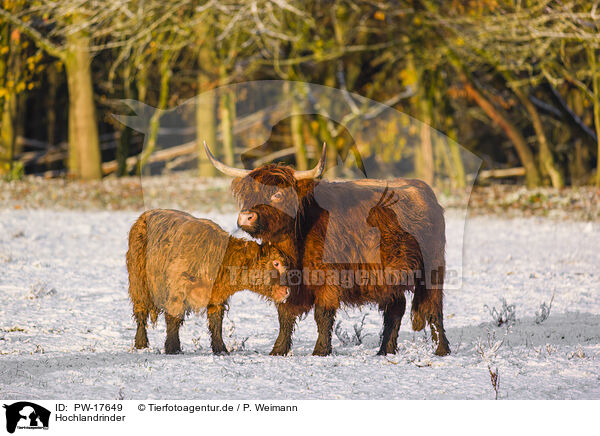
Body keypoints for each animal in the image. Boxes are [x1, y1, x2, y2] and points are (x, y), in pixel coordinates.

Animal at [127, 209, 292, 356]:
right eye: (276, 263)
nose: (287, 291)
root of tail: (143, 216)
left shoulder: (216, 298)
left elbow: (216, 323)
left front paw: (221, 349)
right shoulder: (176, 290)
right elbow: (174, 319)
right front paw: (173, 348)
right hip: (138, 283)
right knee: (140, 312)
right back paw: (141, 344)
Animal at [204, 143, 448, 358]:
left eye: (277, 194)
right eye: (249, 194)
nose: (246, 217)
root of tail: (425, 190)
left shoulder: (328, 278)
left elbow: (322, 314)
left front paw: (320, 351)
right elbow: (284, 315)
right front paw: (278, 350)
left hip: (432, 269)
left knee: (433, 309)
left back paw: (441, 350)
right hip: (390, 276)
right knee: (396, 309)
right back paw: (385, 350)